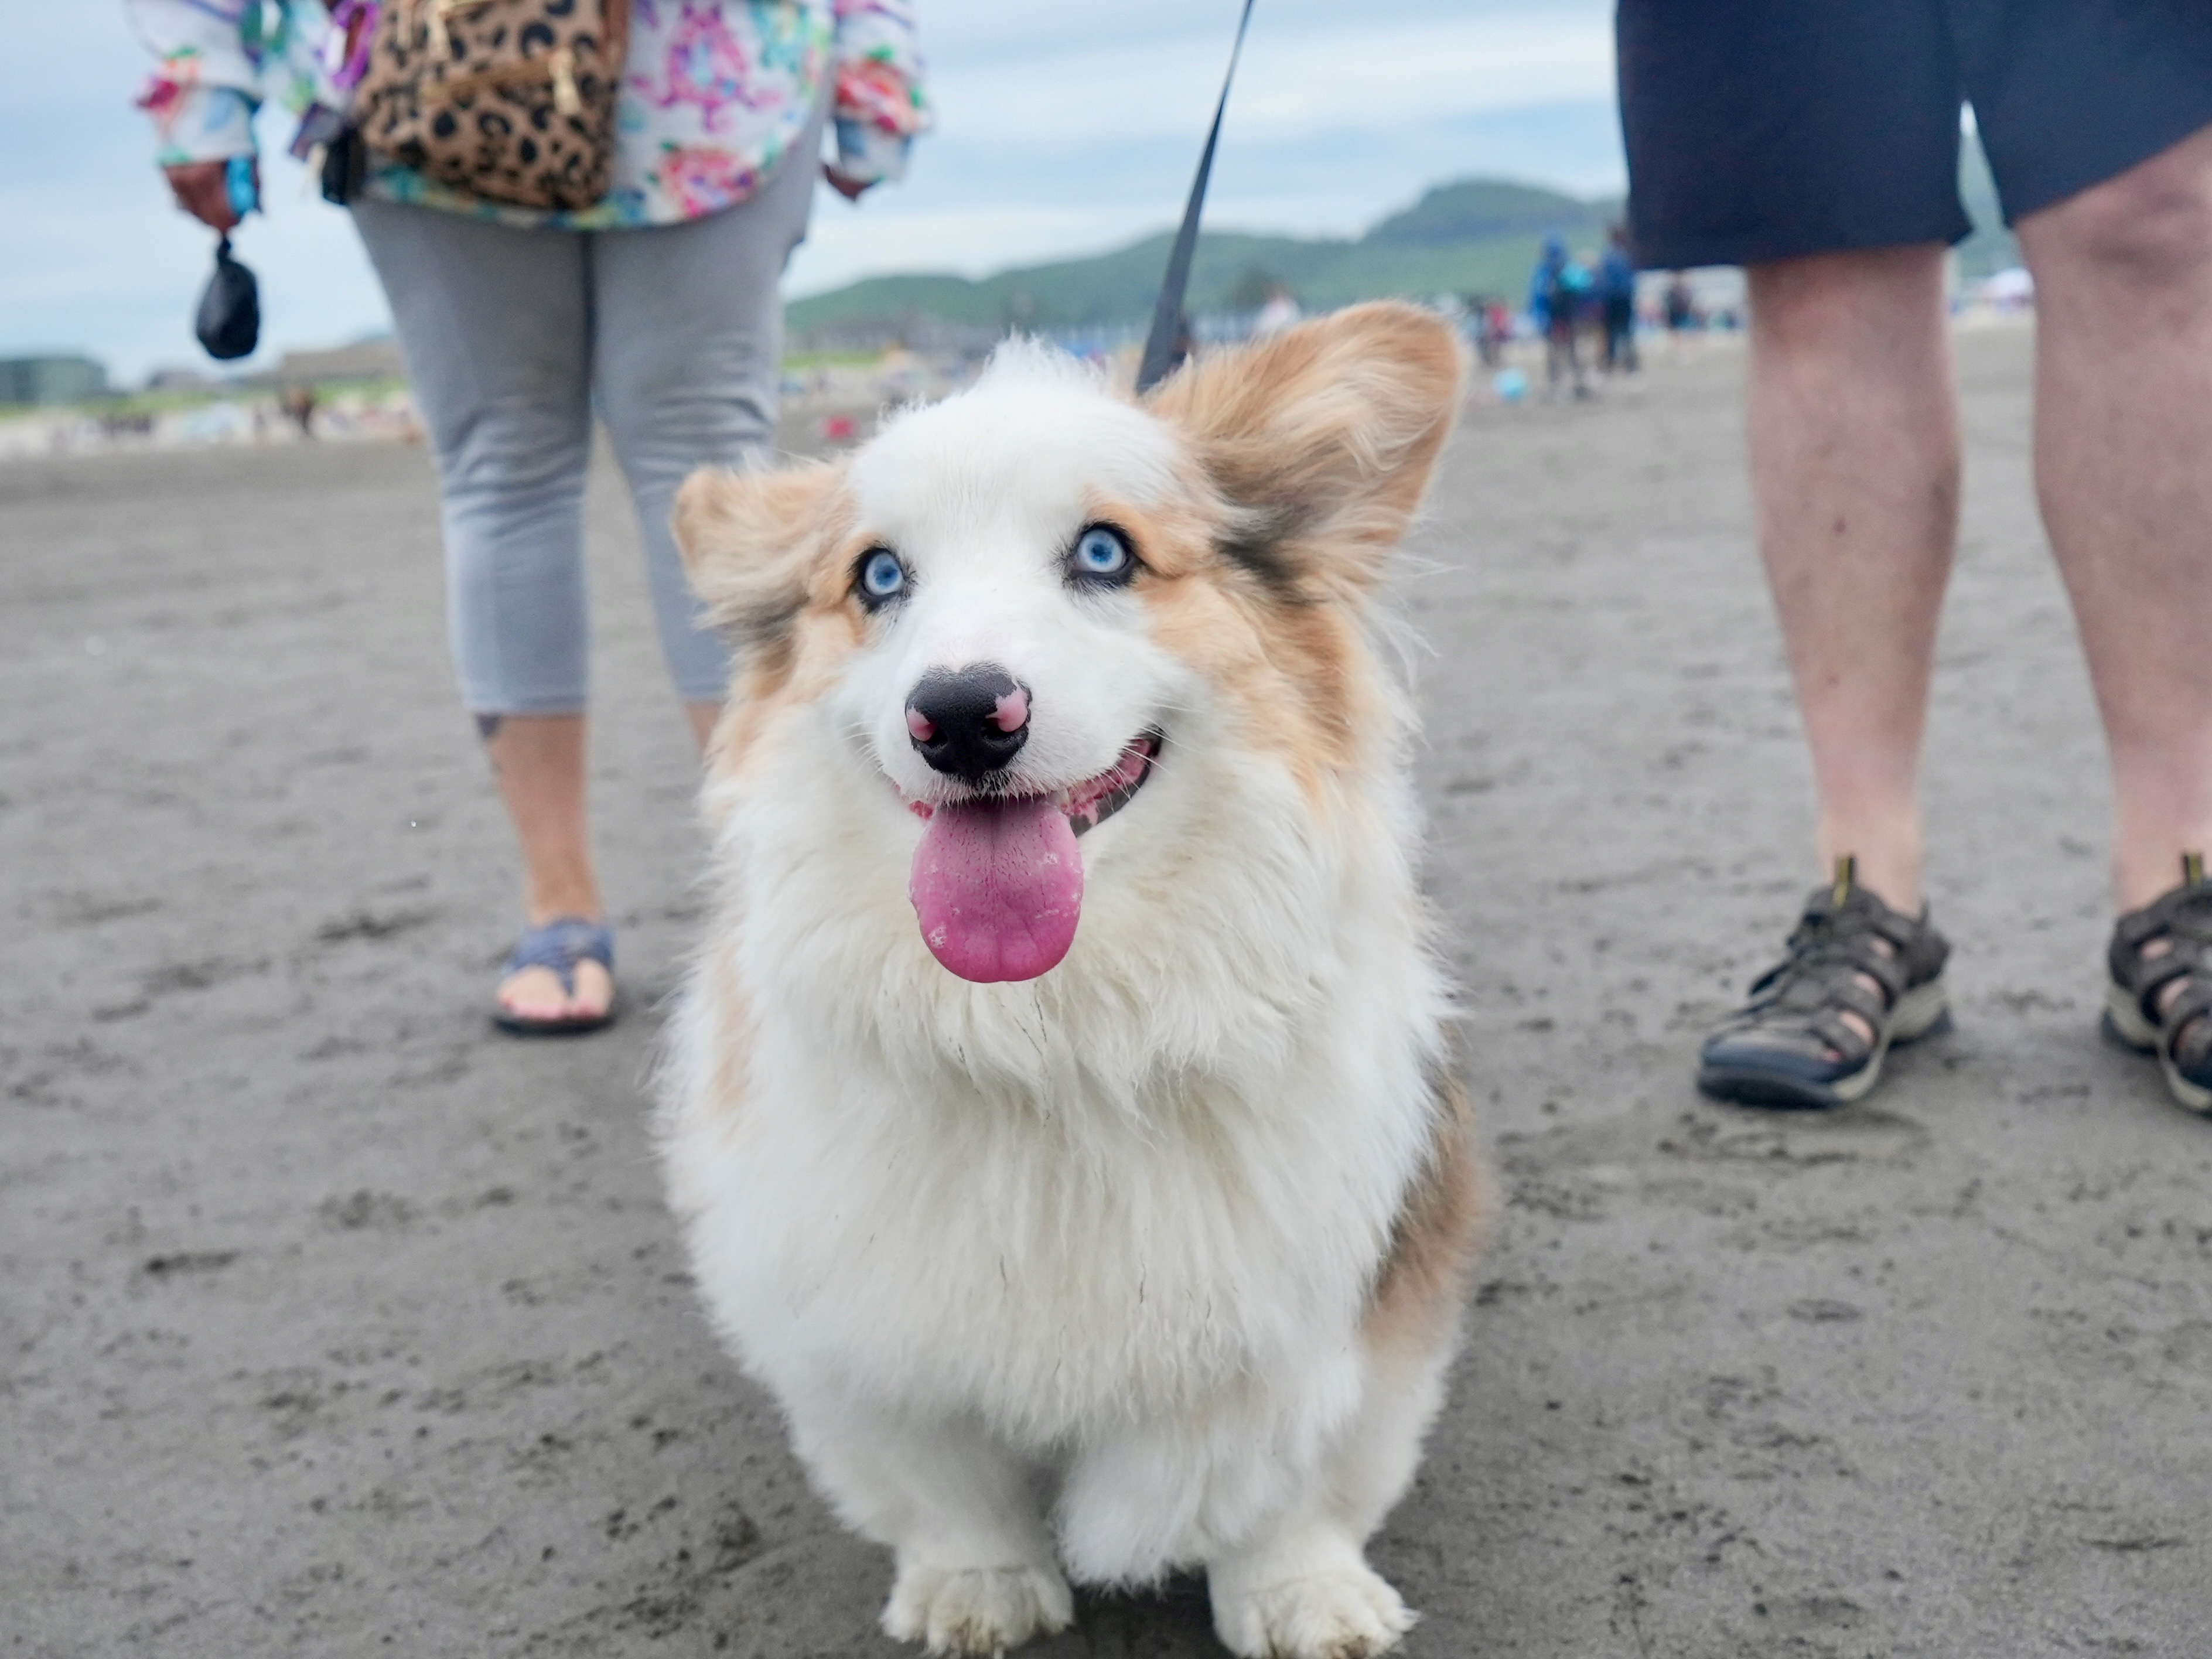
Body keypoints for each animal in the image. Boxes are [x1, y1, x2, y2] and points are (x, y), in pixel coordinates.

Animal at [654, 303, 1486, 1659]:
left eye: (1104, 551)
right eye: (879, 577)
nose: (959, 715)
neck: (1053, 1027)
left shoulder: (1345, 1288)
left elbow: (1281, 1464)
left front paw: (1298, 1593)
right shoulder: (858, 1320)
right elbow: (941, 1474)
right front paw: (978, 1586)